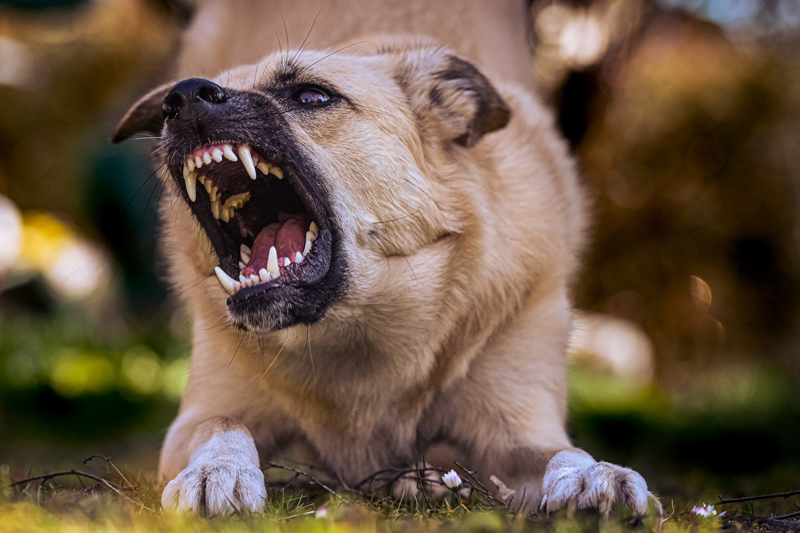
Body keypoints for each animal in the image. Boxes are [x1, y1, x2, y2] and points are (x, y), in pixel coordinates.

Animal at [114, 0, 664, 516]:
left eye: (312, 96)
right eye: (173, 103)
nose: (182, 97)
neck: (358, 332)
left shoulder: (518, 429)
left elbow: (562, 452)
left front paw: (594, 475)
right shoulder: (200, 414)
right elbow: (223, 424)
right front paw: (218, 470)